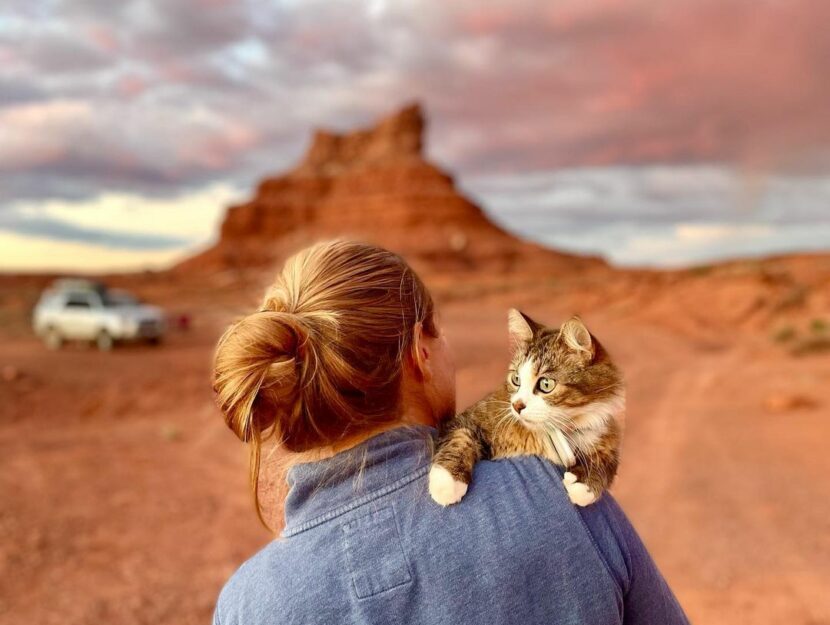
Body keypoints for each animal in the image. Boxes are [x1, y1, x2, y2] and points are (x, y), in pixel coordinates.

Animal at [428, 308, 624, 508]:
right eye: (516, 379)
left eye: (546, 384)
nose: (517, 406)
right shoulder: (470, 417)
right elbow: (459, 437)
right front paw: (446, 483)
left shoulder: (604, 432)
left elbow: (606, 459)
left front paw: (584, 485)